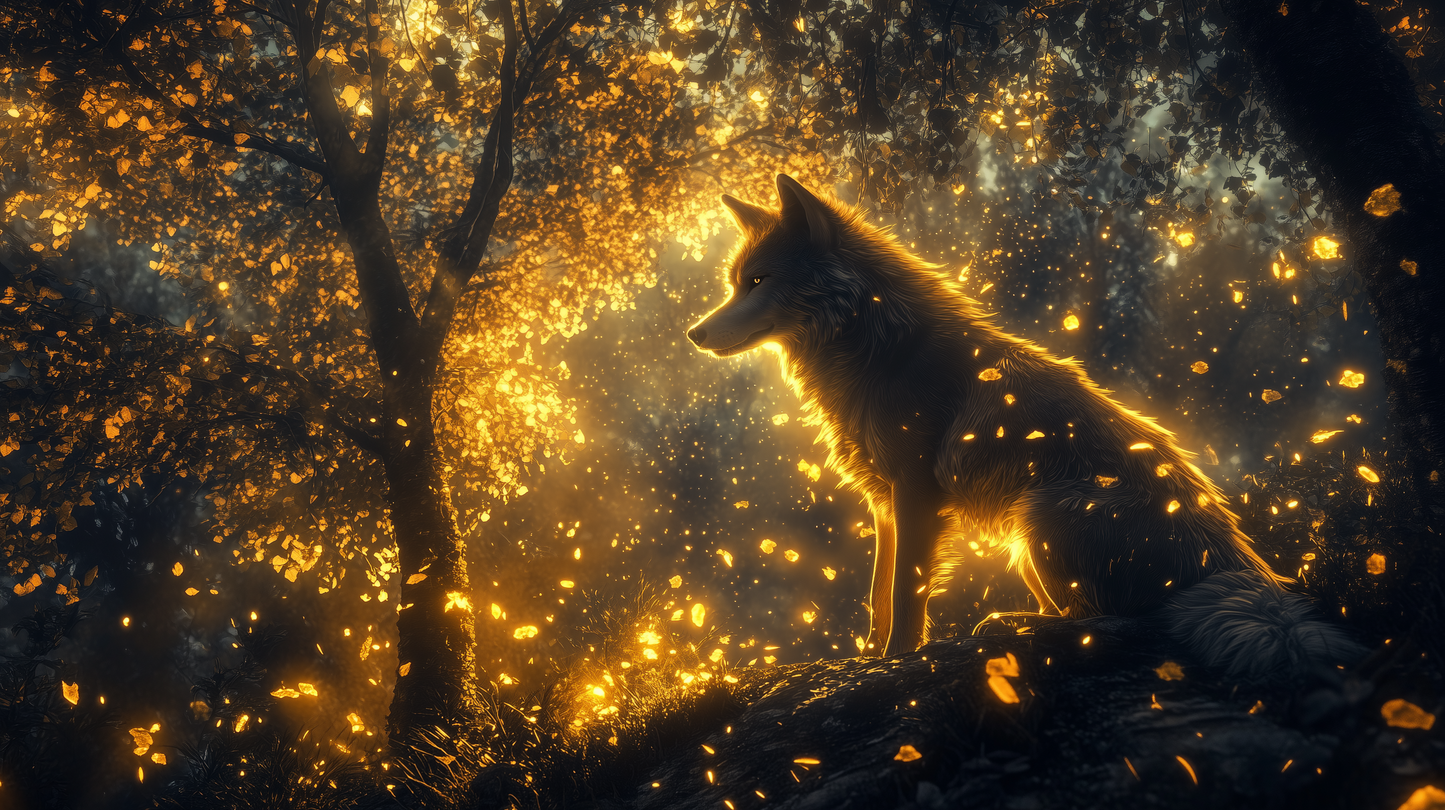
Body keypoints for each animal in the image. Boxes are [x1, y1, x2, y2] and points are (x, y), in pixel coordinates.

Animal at [688, 174, 1364, 679]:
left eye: (758, 281)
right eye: (733, 283)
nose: (694, 333)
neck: (880, 347)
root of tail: (1234, 567)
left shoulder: (916, 495)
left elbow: (906, 592)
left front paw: (899, 659)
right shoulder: (884, 503)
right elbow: (878, 592)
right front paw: (868, 657)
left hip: (1042, 514)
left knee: (1110, 623)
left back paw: (1014, 626)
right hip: (1026, 540)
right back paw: (1013, 623)